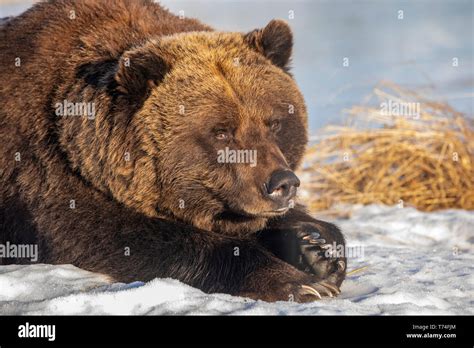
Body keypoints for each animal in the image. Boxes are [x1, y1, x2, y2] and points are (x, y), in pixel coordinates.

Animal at [0, 0, 344, 302]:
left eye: (273, 122)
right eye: (222, 131)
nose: (282, 183)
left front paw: (316, 246)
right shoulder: (50, 173)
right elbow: (114, 234)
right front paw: (299, 282)